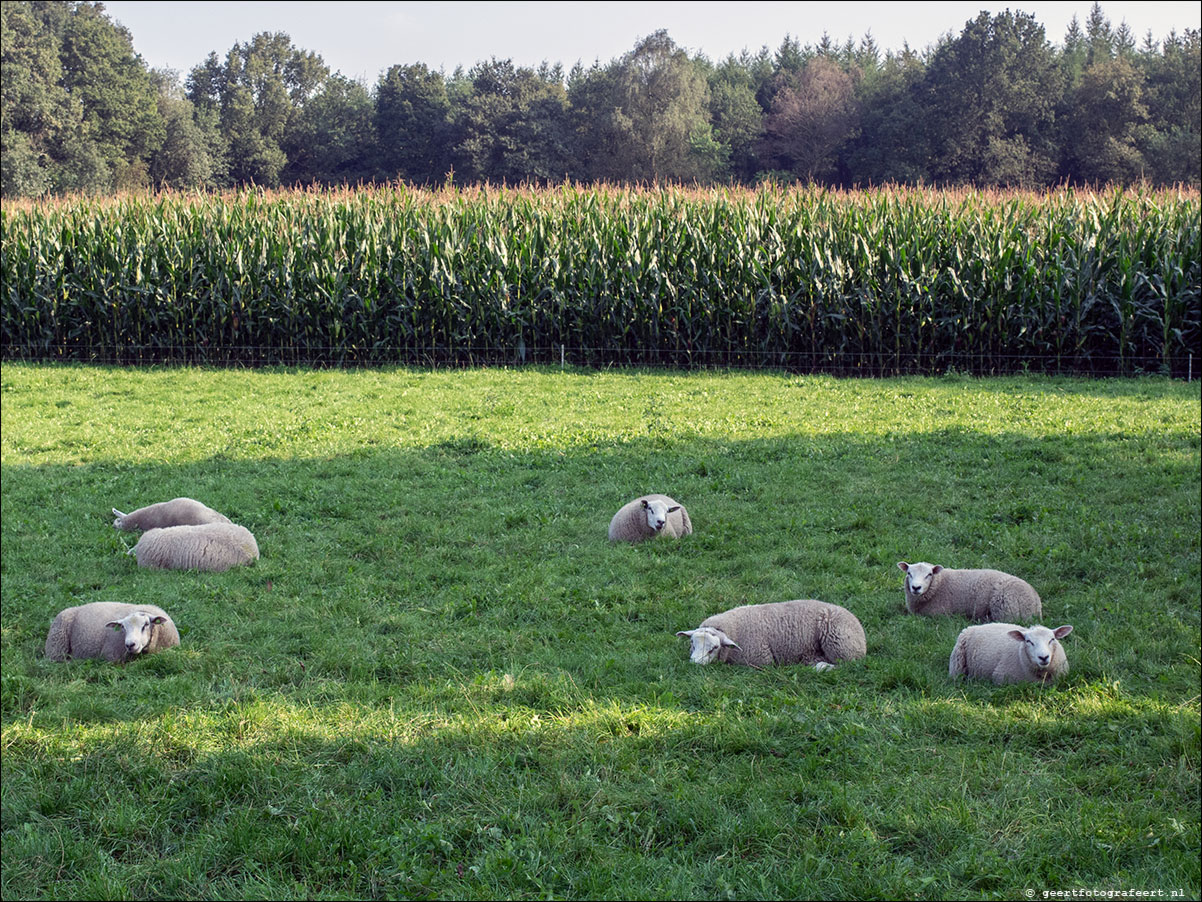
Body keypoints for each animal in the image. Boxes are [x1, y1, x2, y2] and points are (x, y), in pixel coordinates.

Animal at [894, 562, 1043, 625]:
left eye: (929, 574)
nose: (916, 587)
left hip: (1006, 609)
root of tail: (1037, 602)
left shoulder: (937, 614)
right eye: (909, 573)